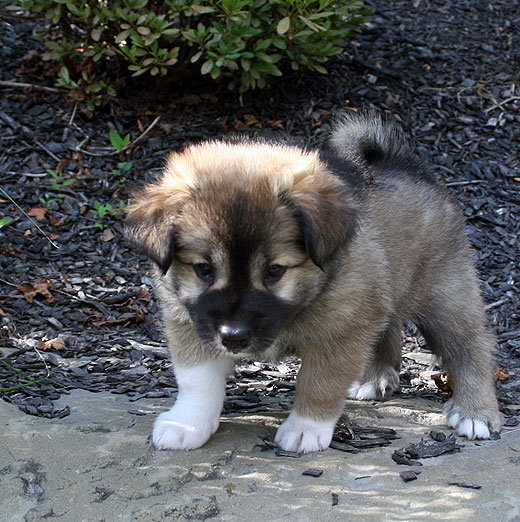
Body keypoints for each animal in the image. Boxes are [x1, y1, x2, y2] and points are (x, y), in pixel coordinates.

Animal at [125, 110, 500, 450]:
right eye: (203, 269)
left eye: (275, 270)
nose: (233, 337)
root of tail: (405, 164)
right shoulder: (190, 320)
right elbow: (197, 380)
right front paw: (187, 423)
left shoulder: (341, 329)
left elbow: (319, 383)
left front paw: (305, 428)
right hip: (384, 289)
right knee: (388, 328)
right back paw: (375, 377)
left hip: (446, 293)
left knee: (471, 347)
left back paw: (475, 413)